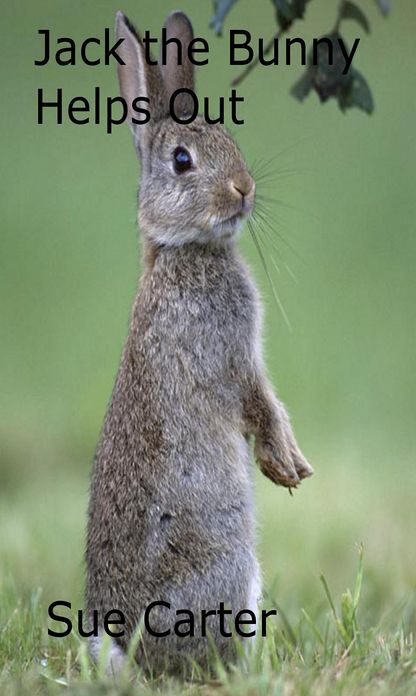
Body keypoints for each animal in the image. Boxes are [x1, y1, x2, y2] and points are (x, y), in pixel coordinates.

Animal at [86, 9, 313, 676]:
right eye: (183, 160)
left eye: (229, 137)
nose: (243, 188)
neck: (181, 250)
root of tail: (130, 650)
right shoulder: (232, 357)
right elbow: (260, 404)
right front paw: (285, 466)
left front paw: (293, 465)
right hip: (230, 566)